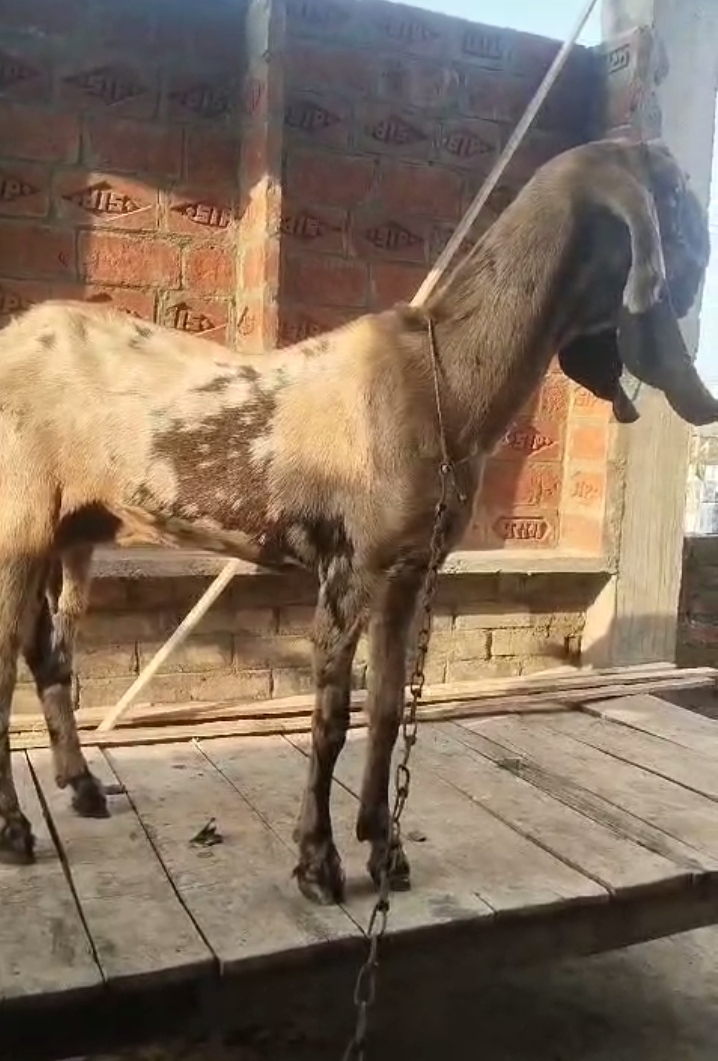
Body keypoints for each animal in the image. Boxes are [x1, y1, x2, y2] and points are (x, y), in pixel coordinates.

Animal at [0, 137, 714, 906]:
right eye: (681, 206)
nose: (692, 289)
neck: (446, 378)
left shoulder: (408, 572)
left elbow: (389, 708)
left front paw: (384, 849)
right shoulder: (350, 566)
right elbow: (332, 718)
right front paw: (319, 862)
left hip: (64, 533)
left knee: (47, 653)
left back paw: (81, 786)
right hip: (15, 526)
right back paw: (15, 831)